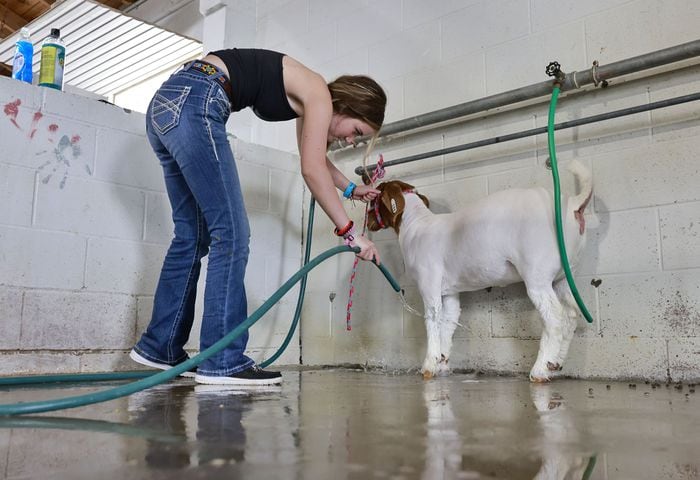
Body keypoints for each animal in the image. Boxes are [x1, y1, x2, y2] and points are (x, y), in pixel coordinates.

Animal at [370, 161, 592, 382]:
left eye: (374, 198)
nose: (369, 223)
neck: (416, 225)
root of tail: (573, 204)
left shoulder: (429, 284)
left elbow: (432, 321)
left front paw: (429, 367)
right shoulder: (449, 292)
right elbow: (447, 324)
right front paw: (442, 363)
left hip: (537, 274)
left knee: (554, 316)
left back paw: (540, 369)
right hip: (563, 275)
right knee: (571, 314)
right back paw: (556, 363)